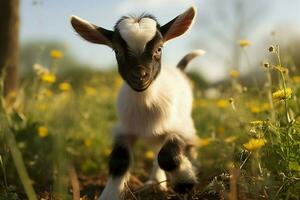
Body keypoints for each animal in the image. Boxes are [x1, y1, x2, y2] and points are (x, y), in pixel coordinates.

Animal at [71, 6, 205, 200]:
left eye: (159, 49)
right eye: (117, 51)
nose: (140, 76)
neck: (146, 102)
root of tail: (178, 70)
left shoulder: (177, 127)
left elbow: (167, 156)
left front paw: (185, 181)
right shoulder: (125, 130)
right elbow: (119, 161)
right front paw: (110, 194)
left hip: (186, 122)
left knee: (184, 147)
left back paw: (191, 167)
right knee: (156, 152)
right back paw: (155, 184)